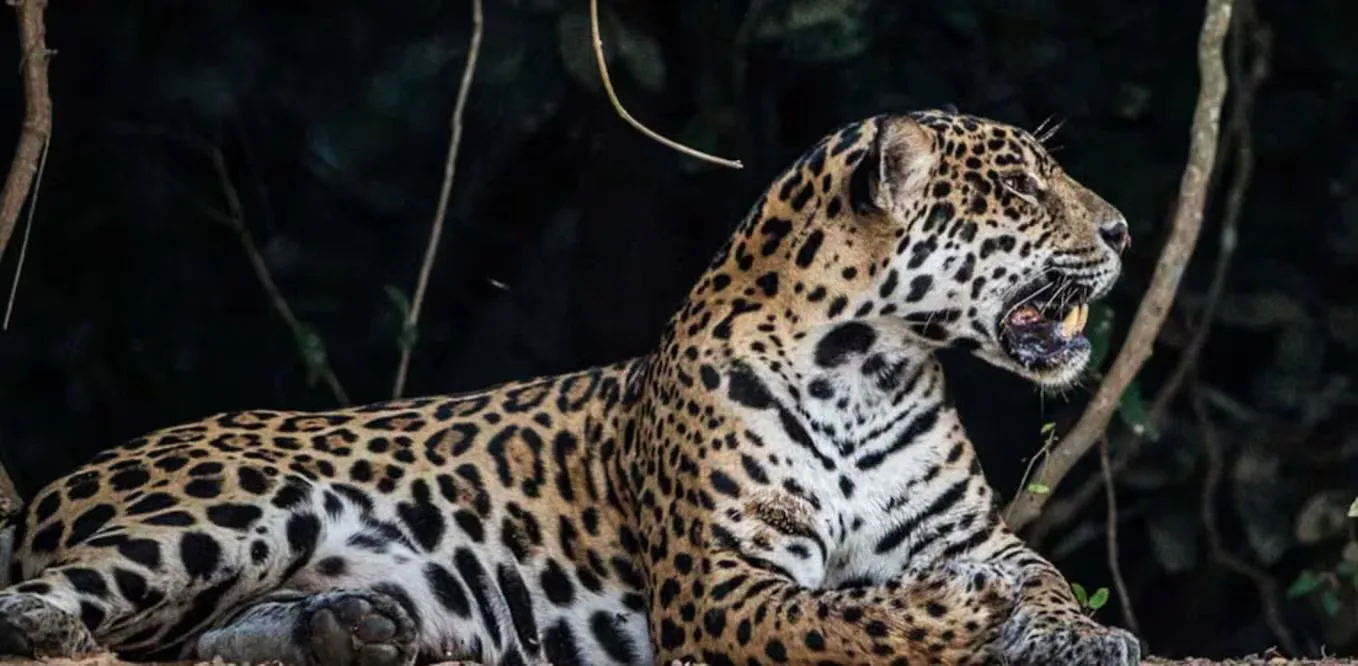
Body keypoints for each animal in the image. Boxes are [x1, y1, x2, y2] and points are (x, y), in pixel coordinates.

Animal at [0, 108, 1140, 666]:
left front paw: (1085, 636)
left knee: (196, 641)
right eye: (1022, 188)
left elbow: (1040, 575)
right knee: (78, 600)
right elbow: (836, 621)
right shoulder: (720, 583)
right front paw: (946, 617)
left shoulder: (969, 532)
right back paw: (46, 628)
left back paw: (351, 630)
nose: (1124, 229)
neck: (869, 370)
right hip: (243, 503)